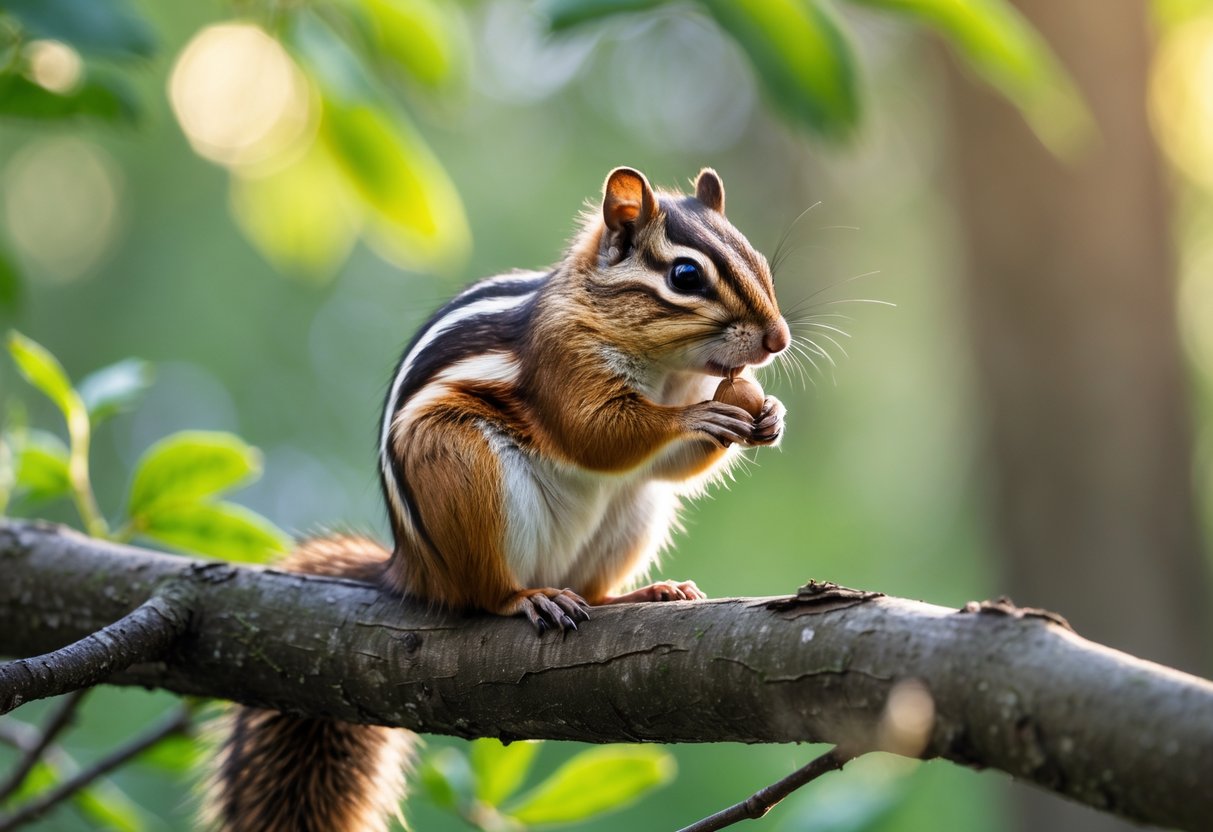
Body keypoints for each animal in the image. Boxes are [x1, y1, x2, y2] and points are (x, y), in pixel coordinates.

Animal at [206, 166, 790, 831]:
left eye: (759, 261)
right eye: (685, 276)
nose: (778, 339)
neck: (667, 370)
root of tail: (415, 570)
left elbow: (668, 466)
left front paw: (768, 414)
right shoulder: (562, 361)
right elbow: (595, 434)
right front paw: (699, 417)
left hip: (633, 514)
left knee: (596, 586)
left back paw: (644, 594)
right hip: (466, 471)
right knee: (485, 594)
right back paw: (528, 598)